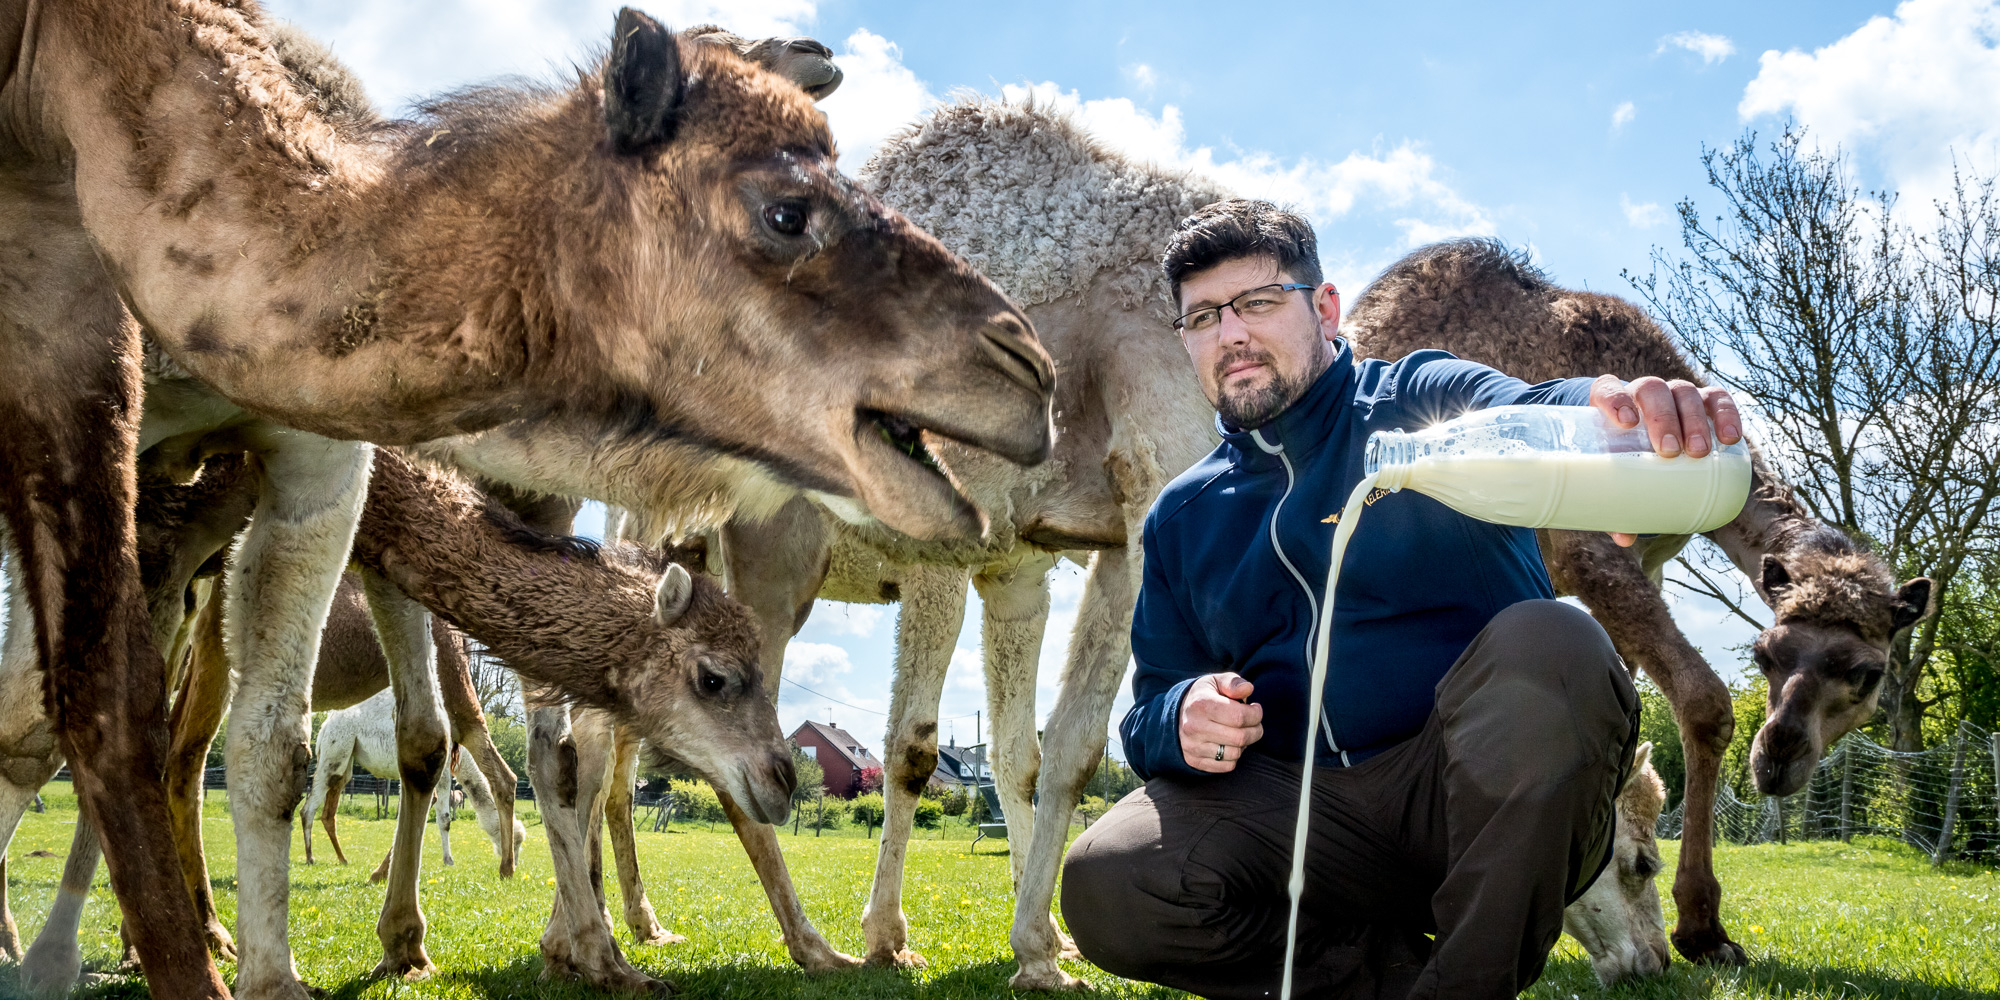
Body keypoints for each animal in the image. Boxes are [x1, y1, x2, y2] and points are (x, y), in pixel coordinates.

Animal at [0, 3, 1056, 996]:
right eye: (787, 213)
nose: (1030, 367)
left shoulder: (324, 465)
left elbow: (378, 745)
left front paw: (583, 949)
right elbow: (61, 711)